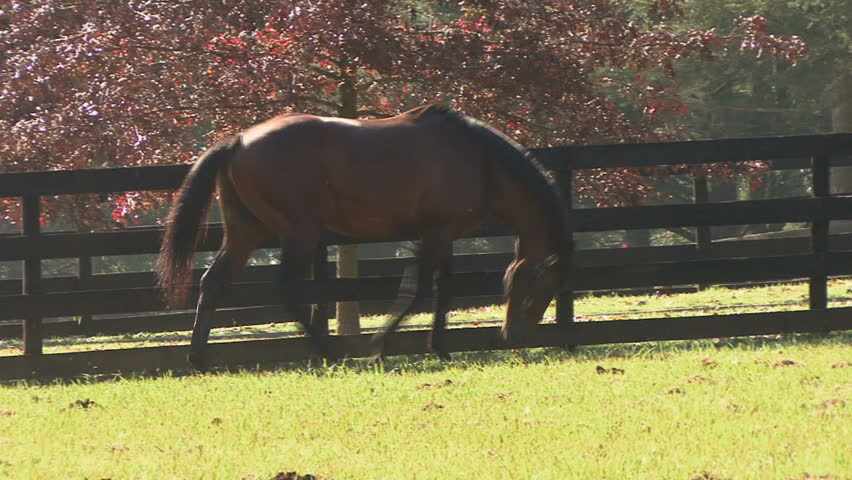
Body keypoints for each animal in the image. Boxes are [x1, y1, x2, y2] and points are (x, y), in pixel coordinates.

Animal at [156, 104, 568, 370]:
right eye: (541, 287)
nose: (514, 337)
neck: (481, 162)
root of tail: (239, 140)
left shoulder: (445, 236)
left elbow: (444, 290)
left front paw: (440, 347)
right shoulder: (435, 234)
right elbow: (418, 291)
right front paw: (379, 346)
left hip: (246, 232)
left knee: (214, 283)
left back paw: (198, 357)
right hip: (299, 232)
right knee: (286, 287)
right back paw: (328, 351)